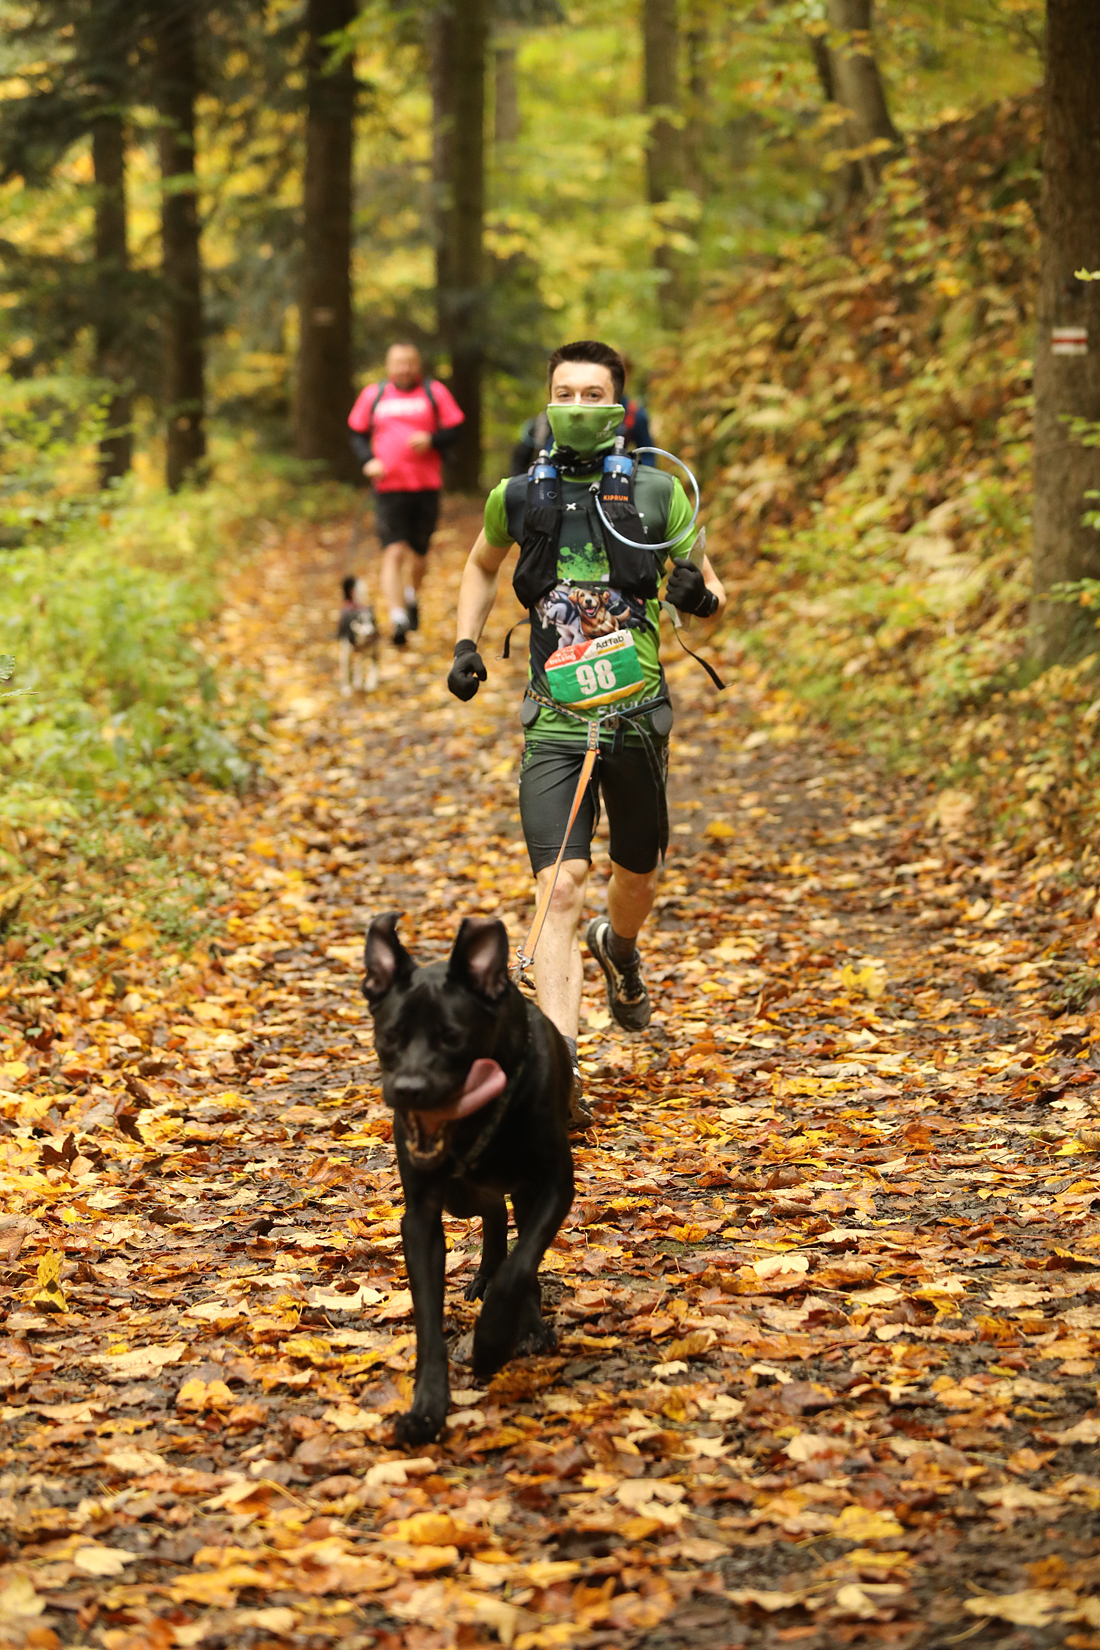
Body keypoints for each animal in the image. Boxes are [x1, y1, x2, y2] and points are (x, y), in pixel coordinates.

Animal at [362, 913, 575, 1446]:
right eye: (390, 1036)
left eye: (452, 1037)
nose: (409, 1089)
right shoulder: (420, 1218)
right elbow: (428, 1320)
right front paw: (427, 1408)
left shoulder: (554, 1187)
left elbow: (519, 1270)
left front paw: (493, 1342)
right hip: (462, 1196)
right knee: (493, 1213)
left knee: (513, 1239)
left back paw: (526, 1325)